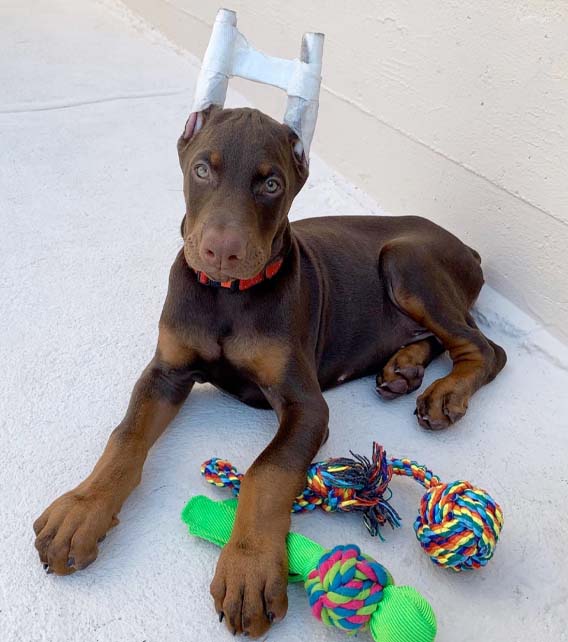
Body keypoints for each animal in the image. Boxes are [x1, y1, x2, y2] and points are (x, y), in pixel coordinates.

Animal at [34, 105, 506, 636]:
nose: (222, 252)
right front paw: (79, 513)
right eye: (202, 169)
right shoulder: (165, 373)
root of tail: (468, 247)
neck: (226, 296)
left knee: (486, 349)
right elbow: (127, 435)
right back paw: (402, 368)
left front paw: (249, 568)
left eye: (272, 184)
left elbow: (268, 471)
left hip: (406, 260)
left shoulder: (305, 404)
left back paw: (446, 394)